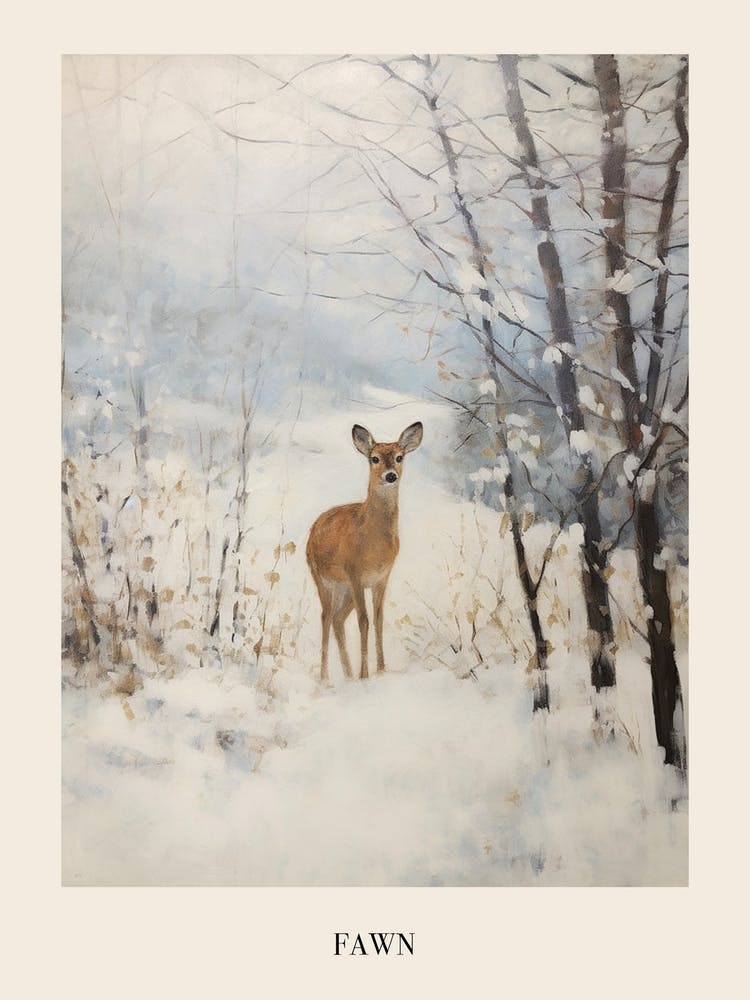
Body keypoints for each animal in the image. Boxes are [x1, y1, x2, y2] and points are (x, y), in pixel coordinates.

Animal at [306, 421, 423, 682]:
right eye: (375, 458)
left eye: (399, 457)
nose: (390, 476)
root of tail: (313, 528)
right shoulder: (356, 574)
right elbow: (364, 621)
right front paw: (365, 675)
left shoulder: (381, 578)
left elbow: (378, 620)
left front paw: (380, 671)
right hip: (323, 579)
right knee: (325, 617)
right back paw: (326, 677)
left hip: (345, 589)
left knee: (338, 619)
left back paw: (348, 675)